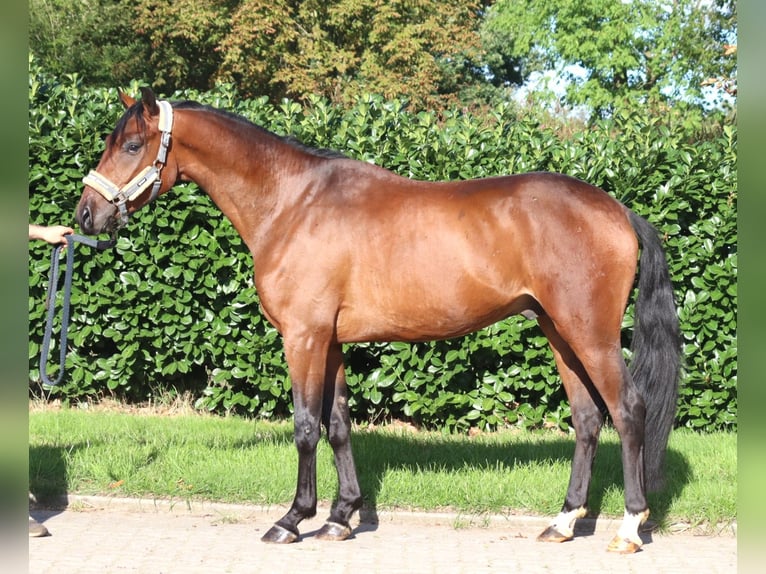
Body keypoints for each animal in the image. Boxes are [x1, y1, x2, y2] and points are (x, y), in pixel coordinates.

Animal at [75, 87, 680, 554]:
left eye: (131, 145)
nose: (85, 214)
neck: (292, 203)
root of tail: (618, 210)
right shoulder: (331, 341)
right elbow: (339, 424)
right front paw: (341, 518)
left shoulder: (303, 338)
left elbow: (305, 427)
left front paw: (292, 519)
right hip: (559, 332)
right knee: (587, 418)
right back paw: (562, 522)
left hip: (589, 334)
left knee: (628, 411)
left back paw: (628, 527)